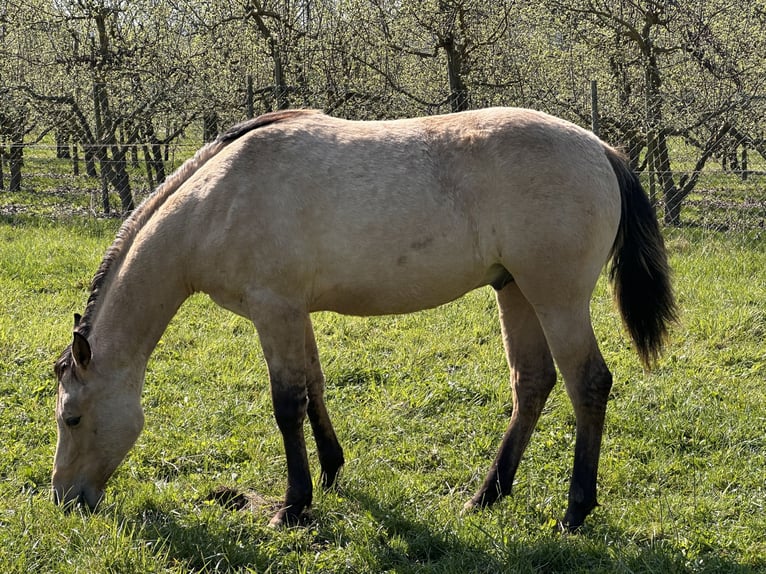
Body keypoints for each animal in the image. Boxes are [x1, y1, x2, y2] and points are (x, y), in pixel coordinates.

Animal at [52, 107, 676, 531]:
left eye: (72, 418)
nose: (64, 498)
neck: (217, 200)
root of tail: (601, 149)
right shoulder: (292, 310)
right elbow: (314, 387)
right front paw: (331, 471)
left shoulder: (273, 310)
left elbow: (287, 404)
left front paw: (294, 504)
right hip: (515, 291)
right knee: (533, 383)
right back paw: (487, 495)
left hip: (556, 297)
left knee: (587, 383)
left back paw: (575, 510)